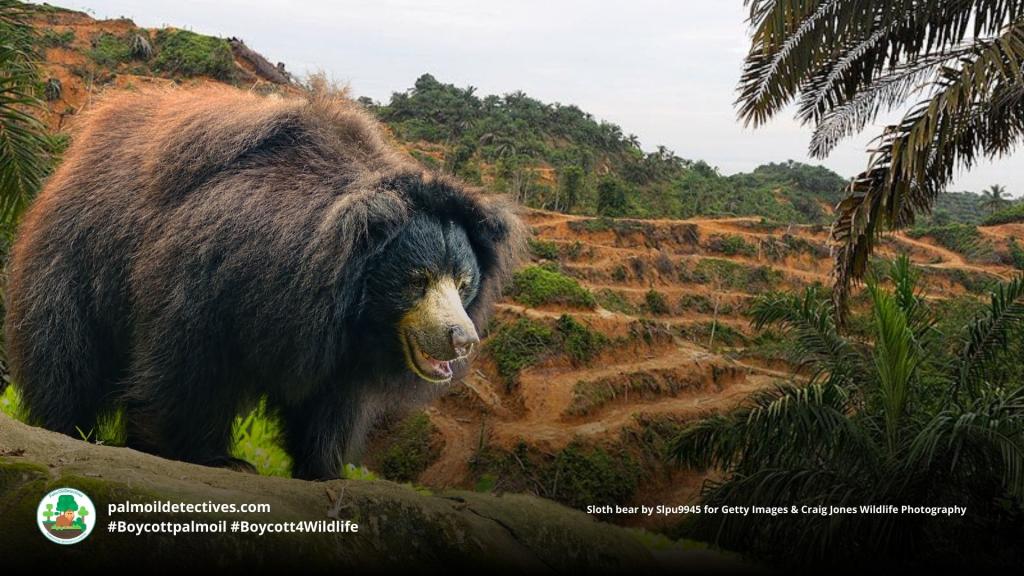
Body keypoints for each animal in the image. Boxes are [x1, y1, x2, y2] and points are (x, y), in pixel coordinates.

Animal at [4, 85, 520, 477]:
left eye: (463, 283)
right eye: (417, 281)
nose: (462, 340)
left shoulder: (342, 347)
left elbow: (333, 405)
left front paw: (324, 470)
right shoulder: (208, 276)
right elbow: (186, 365)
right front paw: (209, 457)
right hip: (73, 260)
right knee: (67, 355)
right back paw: (69, 428)